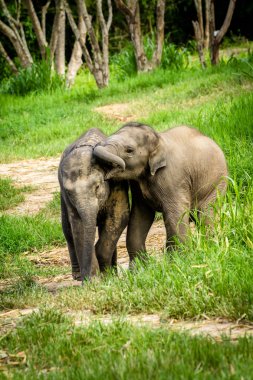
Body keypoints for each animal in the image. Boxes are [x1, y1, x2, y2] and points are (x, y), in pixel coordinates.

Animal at [58, 128, 129, 282]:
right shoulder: (67, 197)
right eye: (69, 192)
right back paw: (78, 276)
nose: (86, 278)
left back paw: (112, 272)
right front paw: (93, 281)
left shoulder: (117, 183)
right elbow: (78, 227)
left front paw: (105, 275)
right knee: (67, 230)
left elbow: (119, 217)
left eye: (97, 187)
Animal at [94, 121, 228, 262]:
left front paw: (178, 261)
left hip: (217, 183)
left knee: (206, 215)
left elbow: (175, 213)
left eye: (129, 150)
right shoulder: (137, 185)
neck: (159, 140)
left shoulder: (173, 178)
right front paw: (141, 266)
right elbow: (141, 215)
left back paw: (211, 247)